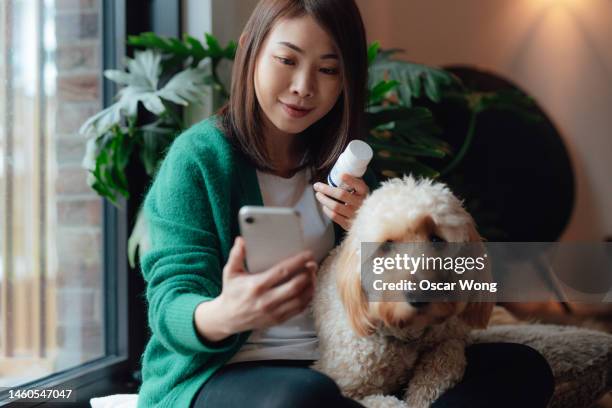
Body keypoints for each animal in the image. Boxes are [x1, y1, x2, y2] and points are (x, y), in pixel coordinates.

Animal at [314, 175, 494, 408]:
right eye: (387, 245)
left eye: (436, 239)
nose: (419, 295)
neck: (406, 334)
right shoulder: (346, 386)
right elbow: (386, 402)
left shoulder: (450, 337)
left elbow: (447, 357)